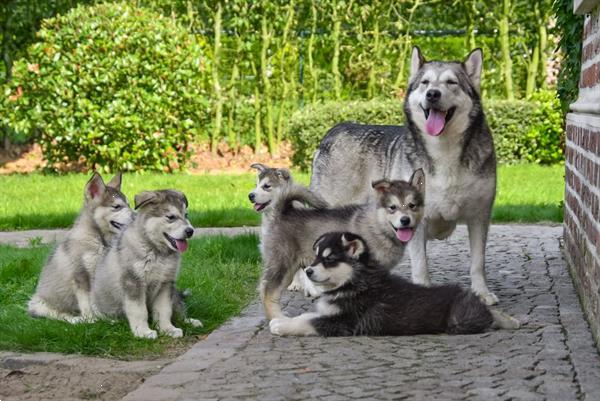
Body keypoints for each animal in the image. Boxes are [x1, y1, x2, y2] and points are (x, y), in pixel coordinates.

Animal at [28, 172, 134, 322]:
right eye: (117, 206)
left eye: (129, 205)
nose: (137, 216)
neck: (100, 240)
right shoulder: (81, 275)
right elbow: (87, 301)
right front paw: (91, 320)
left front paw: (107, 318)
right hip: (40, 305)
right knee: (60, 315)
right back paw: (76, 319)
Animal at [90, 190, 200, 338]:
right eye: (171, 217)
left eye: (186, 215)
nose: (190, 231)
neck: (157, 251)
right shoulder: (134, 283)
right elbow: (139, 311)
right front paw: (143, 332)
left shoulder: (165, 284)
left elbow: (164, 310)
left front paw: (167, 329)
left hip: (174, 293)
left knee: (179, 308)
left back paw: (190, 321)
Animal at [248, 162, 426, 318]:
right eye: (392, 207)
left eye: (412, 205)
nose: (405, 220)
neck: (378, 225)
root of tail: (282, 212)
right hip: (282, 264)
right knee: (267, 292)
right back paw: (276, 319)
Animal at [270, 230, 516, 336]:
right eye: (315, 258)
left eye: (329, 260)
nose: (308, 271)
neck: (353, 281)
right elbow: (306, 315)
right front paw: (283, 319)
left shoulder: (344, 322)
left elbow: (308, 321)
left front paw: (281, 325)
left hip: (458, 321)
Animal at [310, 46, 496, 304]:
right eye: (425, 82)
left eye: (451, 82)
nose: (433, 94)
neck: (444, 150)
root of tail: (335, 129)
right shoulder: (415, 223)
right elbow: (421, 265)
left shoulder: (479, 216)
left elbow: (478, 263)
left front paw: (481, 292)